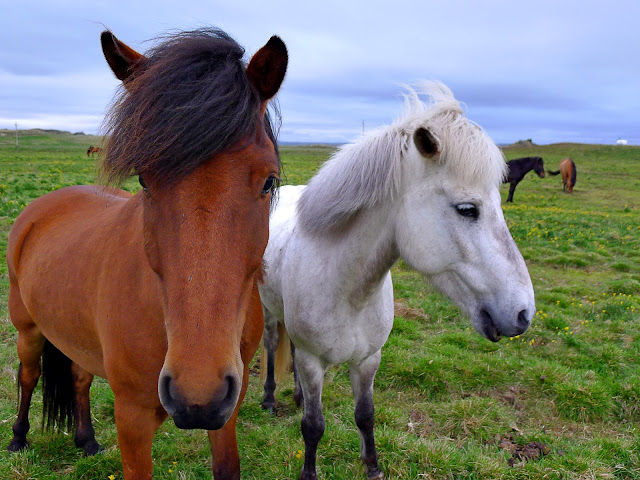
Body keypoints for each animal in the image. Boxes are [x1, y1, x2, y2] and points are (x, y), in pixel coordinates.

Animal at [5, 28, 288, 478]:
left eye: (268, 181)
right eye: (143, 179)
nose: (197, 394)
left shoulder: (229, 406)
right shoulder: (132, 418)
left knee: (79, 377)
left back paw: (87, 440)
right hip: (28, 330)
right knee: (28, 377)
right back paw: (17, 438)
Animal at [258, 82, 536, 480]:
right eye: (467, 209)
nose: (523, 313)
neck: (348, 291)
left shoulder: (368, 360)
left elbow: (365, 415)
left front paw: (373, 468)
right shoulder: (313, 362)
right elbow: (313, 426)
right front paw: (309, 473)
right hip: (267, 311)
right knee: (270, 346)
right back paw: (269, 398)